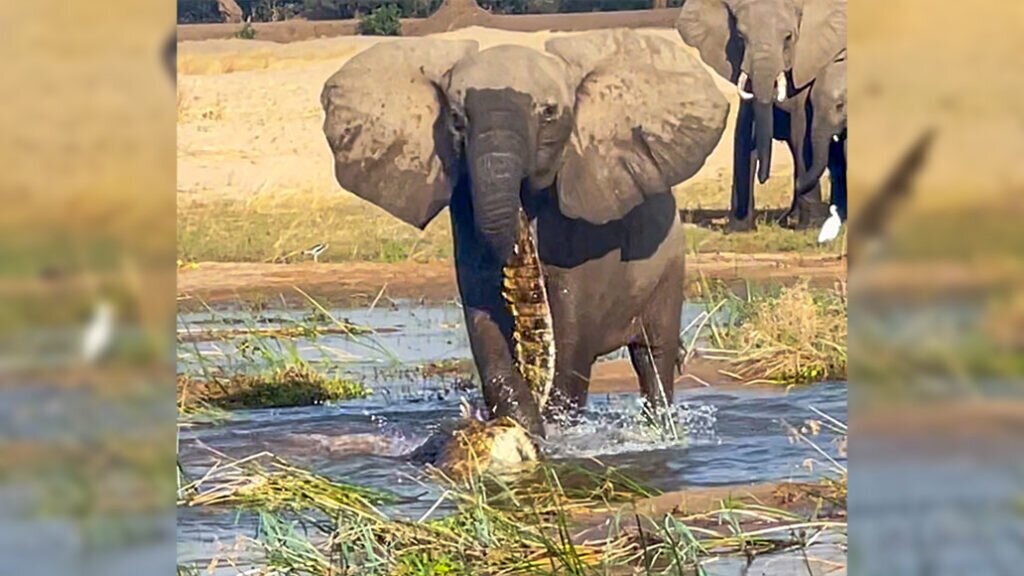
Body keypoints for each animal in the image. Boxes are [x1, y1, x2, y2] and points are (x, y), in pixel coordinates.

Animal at [319, 30, 729, 434]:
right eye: (456, 118)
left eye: (548, 113)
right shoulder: (465, 207)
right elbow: (482, 309)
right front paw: (522, 425)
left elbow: (571, 333)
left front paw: (555, 433)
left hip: (669, 267)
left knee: (653, 357)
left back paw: (661, 429)